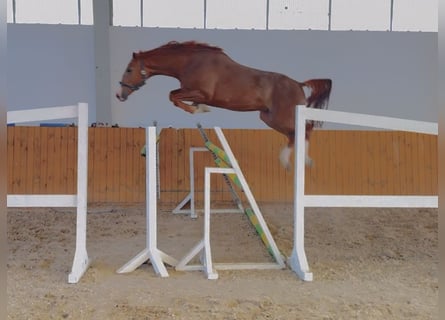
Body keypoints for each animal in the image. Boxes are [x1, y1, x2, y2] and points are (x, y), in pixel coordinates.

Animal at [116, 41, 332, 169]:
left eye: (129, 70)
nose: (119, 95)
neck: (189, 62)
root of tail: (298, 84)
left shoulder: (202, 92)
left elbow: (173, 96)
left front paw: (198, 109)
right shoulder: (194, 92)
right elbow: (176, 97)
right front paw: (198, 108)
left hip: (282, 117)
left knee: (305, 129)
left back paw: (301, 160)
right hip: (268, 117)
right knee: (295, 134)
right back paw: (288, 160)